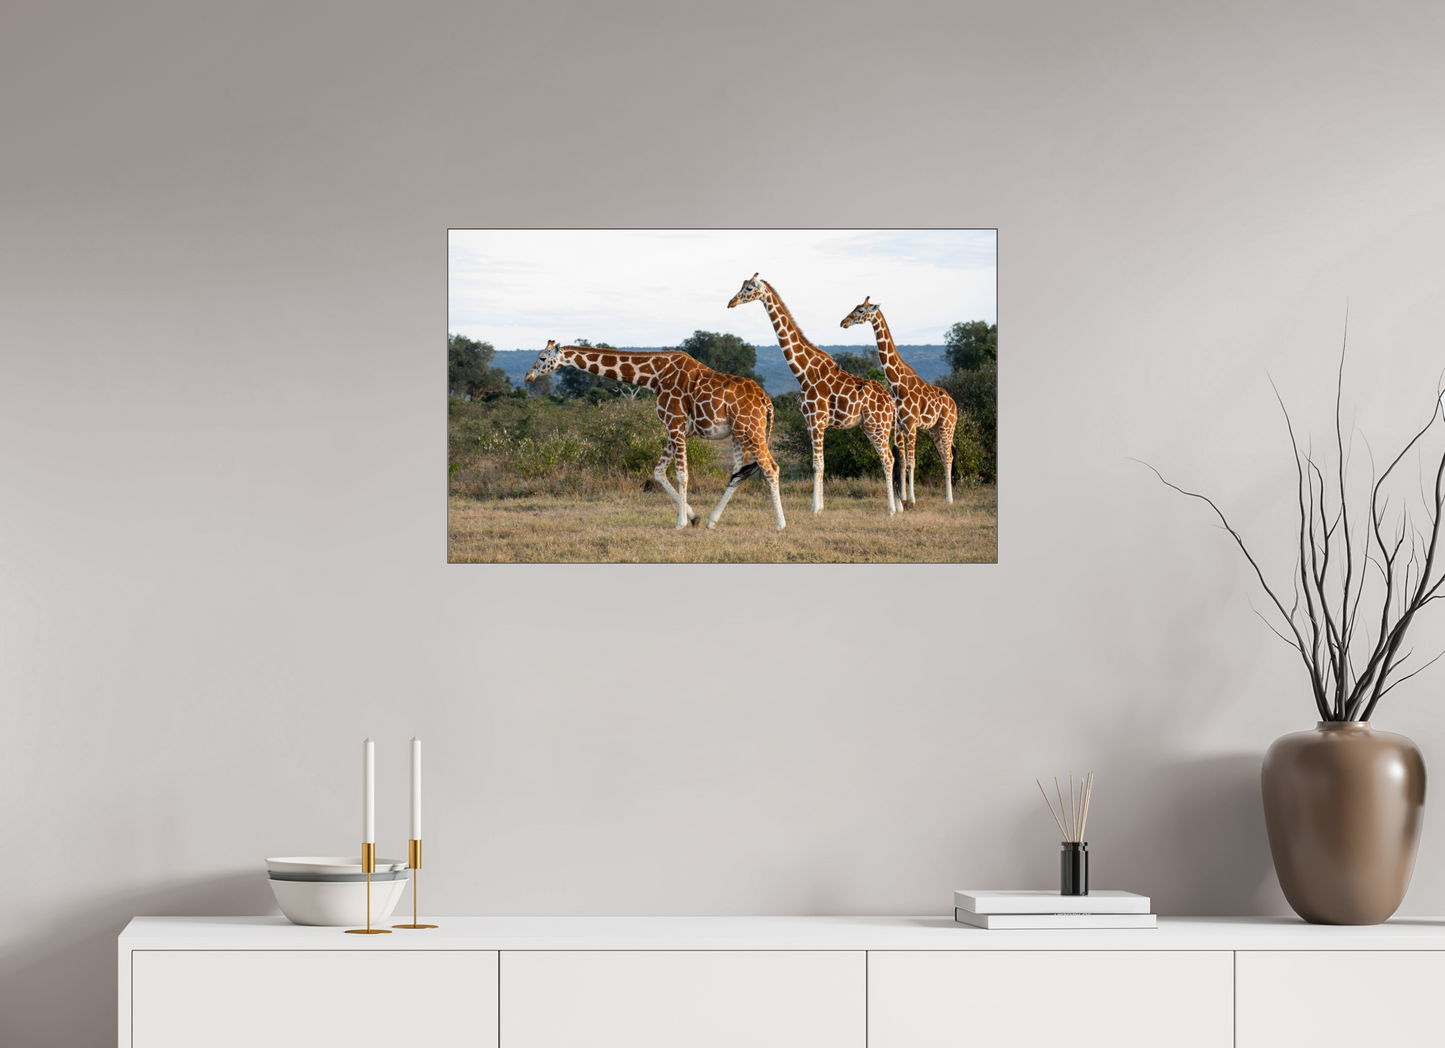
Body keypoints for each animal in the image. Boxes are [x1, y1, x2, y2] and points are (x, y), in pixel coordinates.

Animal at [524, 341, 786, 530]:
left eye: (543, 358)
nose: (528, 376)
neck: (654, 375)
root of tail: (766, 399)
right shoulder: (674, 429)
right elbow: (658, 472)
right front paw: (694, 518)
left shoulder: (675, 424)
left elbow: (682, 474)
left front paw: (680, 523)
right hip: (738, 433)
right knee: (738, 473)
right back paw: (712, 522)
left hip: (751, 430)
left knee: (771, 468)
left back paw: (780, 524)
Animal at [727, 274, 897, 516]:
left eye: (749, 288)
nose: (731, 302)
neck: (803, 371)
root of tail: (891, 402)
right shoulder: (809, 422)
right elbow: (819, 463)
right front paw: (820, 506)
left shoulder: (816, 419)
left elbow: (818, 464)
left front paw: (814, 509)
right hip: (871, 426)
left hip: (878, 425)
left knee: (888, 458)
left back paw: (892, 510)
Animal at [840, 297, 959, 506]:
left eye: (861, 310)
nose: (843, 322)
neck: (897, 384)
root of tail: (954, 404)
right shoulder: (898, 426)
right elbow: (902, 461)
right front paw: (902, 499)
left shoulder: (911, 425)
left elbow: (911, 462)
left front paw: (911, 500)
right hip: (934, 429)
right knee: (944, 456)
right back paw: (947, 497)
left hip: (947, 425)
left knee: (949, 456)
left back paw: (949, 499)